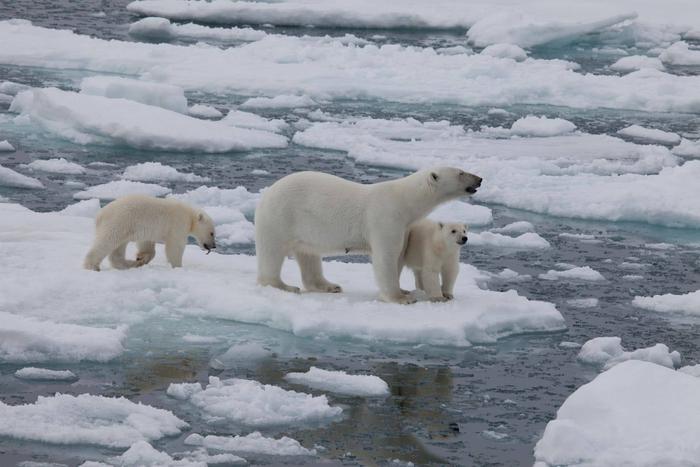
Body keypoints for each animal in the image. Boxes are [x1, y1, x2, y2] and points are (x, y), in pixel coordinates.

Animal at [82, 196, 215, 272]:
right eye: (212, 233)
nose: (213, 246)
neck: (190, 215)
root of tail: (100, 214)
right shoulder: (178, 223)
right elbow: (175, 246)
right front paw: (178, 267)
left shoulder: (148, 229)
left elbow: (146, 244)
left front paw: (141, 258)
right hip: (119, 222)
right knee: (107, 241)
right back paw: (92, 266)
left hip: (124, 226)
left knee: (118, 249)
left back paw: (129, 263)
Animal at [256, 167, 482, 304]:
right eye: (461, 172)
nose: (480, 178)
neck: (403, 201)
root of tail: (268, 192)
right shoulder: (386, 218)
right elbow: (386, 257)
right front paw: (401, 298)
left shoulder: (405, 227)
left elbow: (399, 256)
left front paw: (405, 290)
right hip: (281, 216)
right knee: (272, 252)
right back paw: (283, 286)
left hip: (305, 227)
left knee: (308, 254)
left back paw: (329, 286)